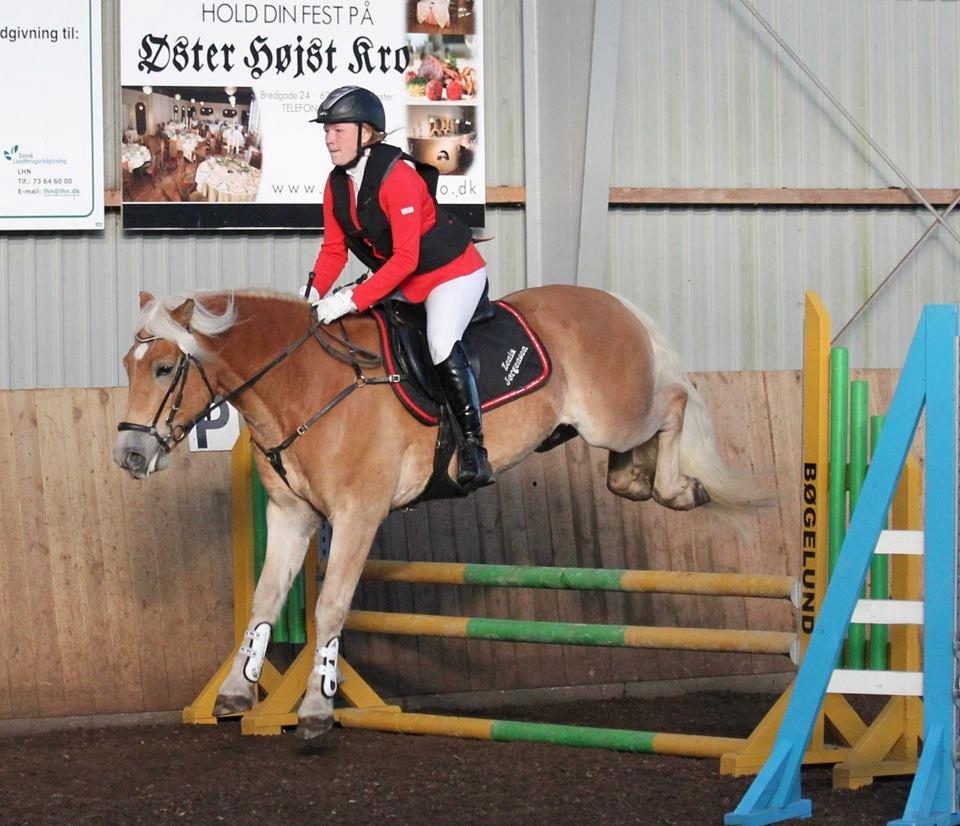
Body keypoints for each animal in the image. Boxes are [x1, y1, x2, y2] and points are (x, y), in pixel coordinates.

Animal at [112, 284, 760, 740]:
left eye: (164, 368)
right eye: (128, 365)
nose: (129, 455)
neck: (302, 385)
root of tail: (611, 302)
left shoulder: (357, 514)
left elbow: (330, 606)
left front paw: (318, 707)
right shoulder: (293, 515)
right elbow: (265, 602)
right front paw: (237, 696)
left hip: (614, 414)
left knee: (674, 402)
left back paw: (679, 488)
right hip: (598, 426)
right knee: (631, 460)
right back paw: (639, 477)